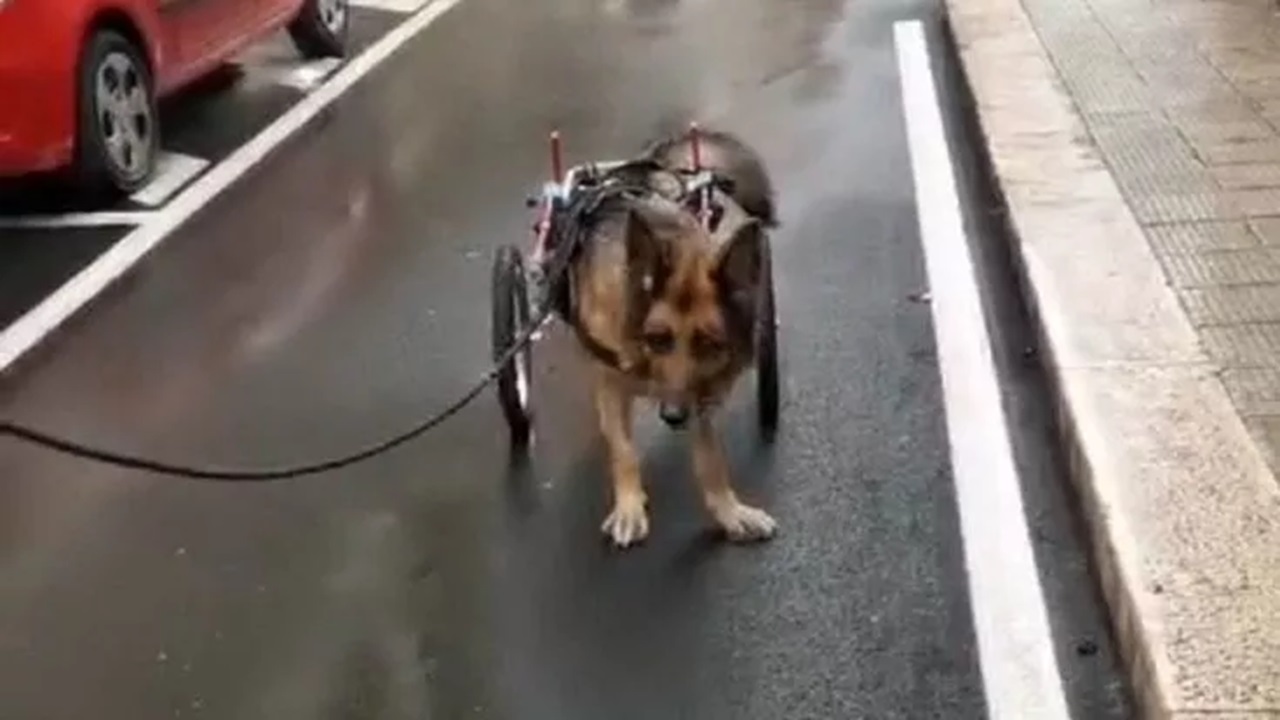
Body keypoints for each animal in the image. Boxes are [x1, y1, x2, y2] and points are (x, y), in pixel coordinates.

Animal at [560, 126, 778, 545]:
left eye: (708, 343)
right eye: (657, 339)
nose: (674, 416)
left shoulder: (700, 393)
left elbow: (710, 458)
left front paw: (728, 510)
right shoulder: (611, 384)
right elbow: (622, 448)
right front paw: (629, 507)